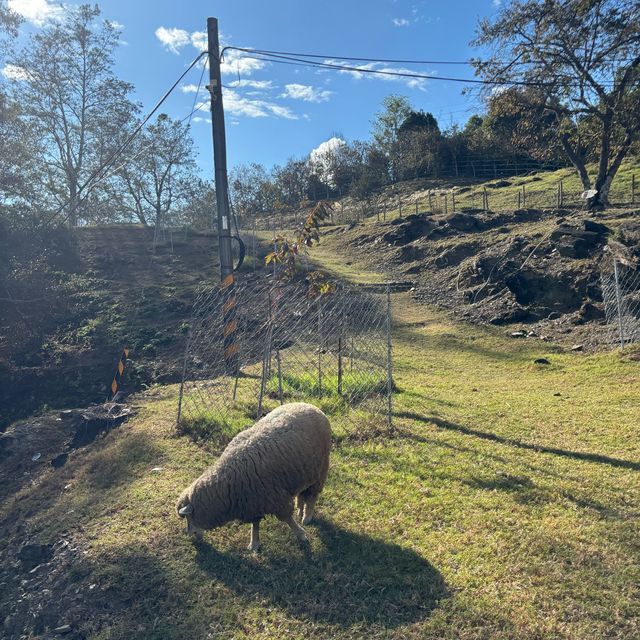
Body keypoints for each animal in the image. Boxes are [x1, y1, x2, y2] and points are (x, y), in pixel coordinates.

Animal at [178, 404, 332, 552]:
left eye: (188, 516)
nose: (190, 535)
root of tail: (311, 406)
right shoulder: (253, 502)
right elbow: (255, 524)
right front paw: (254, 544)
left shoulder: (275, 499)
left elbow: (287, 519)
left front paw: (301, 534)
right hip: (303, 471)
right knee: (302, 492)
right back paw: (300, 509)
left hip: (321, 468)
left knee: (312, 495)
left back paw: (307, 516)